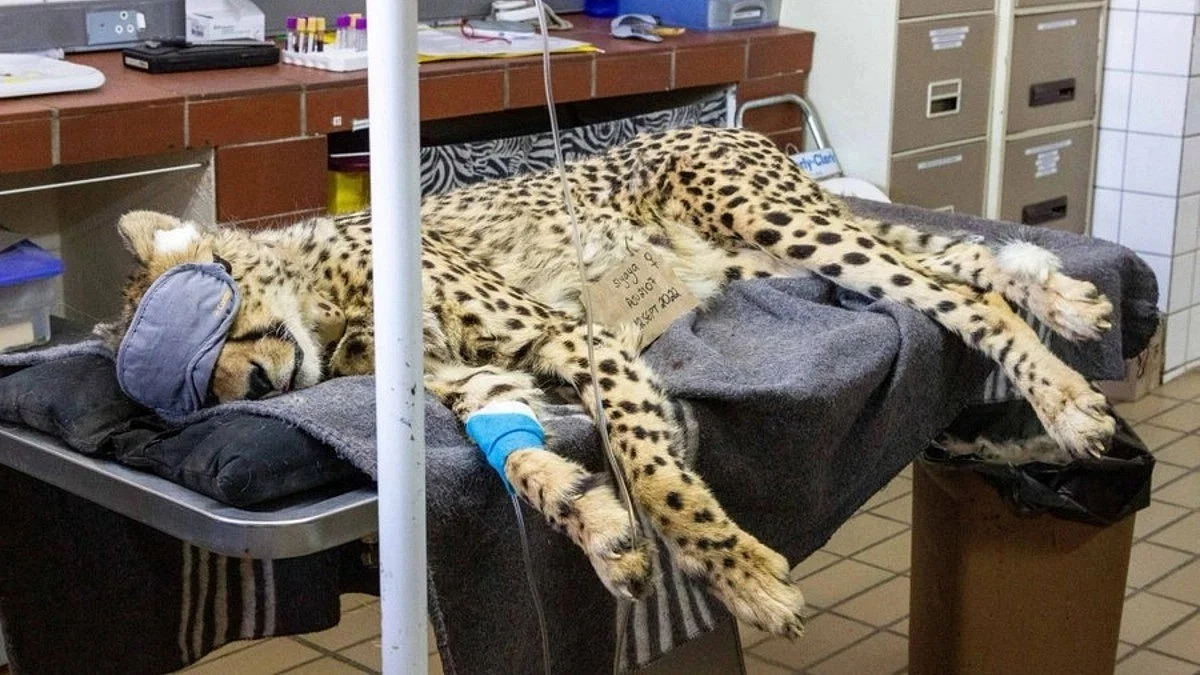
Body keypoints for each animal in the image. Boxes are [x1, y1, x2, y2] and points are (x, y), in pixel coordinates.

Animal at [106, 126, 1117, 639]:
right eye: (202, 400)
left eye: (209, 327)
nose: (256, 381)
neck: (332, 309)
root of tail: (726, 120)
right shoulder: (481, 384)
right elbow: (521, 466)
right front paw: (597, 529)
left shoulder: (579, 333)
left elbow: (656, 472)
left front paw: (737, 570)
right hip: (767, 260)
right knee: (960, 260)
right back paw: (1066, 300)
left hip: (783, 224)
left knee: (956, 293)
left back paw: (1066, 398)